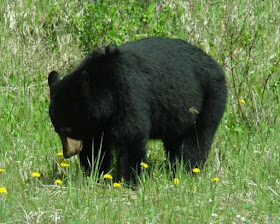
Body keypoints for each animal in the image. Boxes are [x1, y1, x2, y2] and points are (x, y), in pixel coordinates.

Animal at [48, 36, 228, 180]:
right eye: (57, 130)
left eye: (67, 129)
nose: (68, 153)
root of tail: (215, 63)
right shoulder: (97, 121)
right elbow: (95, 146)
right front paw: (93, 174)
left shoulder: (128, 93)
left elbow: (131, 135)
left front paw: (130, 179)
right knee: (175, 140)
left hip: (209, 97)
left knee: (197, 137)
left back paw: (188, 170)